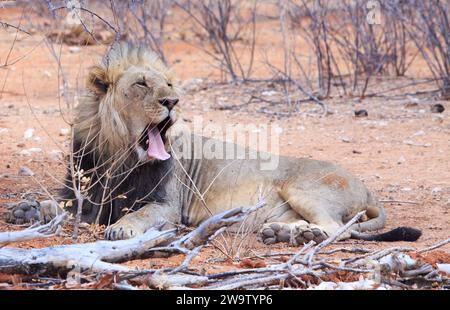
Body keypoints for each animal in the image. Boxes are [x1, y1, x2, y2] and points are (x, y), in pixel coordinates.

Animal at [7, 42, 422, 245]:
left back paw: (301, 236)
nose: (172, 101)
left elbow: (140, 215)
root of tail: (367, 188)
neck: (119, 156)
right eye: (141, 84)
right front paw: (27, 209)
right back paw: (284, 233)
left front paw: (122, 229)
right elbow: (57, 205)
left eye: (169, 85)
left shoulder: (167, 207)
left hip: (304, 188)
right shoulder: (83, 193)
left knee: (340, 228)